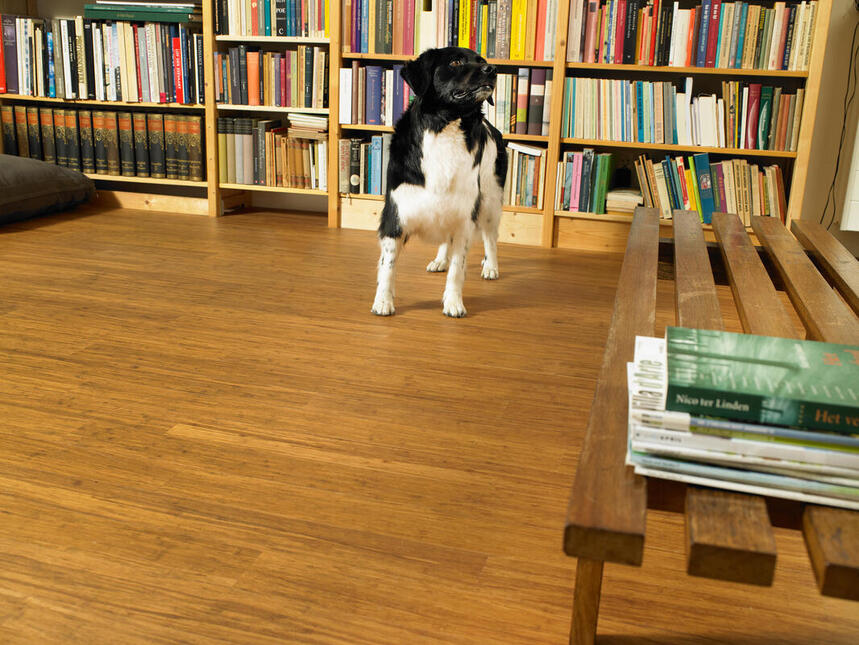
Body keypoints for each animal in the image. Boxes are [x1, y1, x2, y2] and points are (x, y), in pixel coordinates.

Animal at [371, 47, 507, 318]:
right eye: (455, 62)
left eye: (482, 61)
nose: (492, 69)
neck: (446, 126)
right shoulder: (396, 214)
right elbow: (388, 265)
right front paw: (383, 301)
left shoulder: (465, 217)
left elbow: (458, 269)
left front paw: (454, 303)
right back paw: (440, 260)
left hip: (489, 201)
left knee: (490, 237)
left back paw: (491, 267)